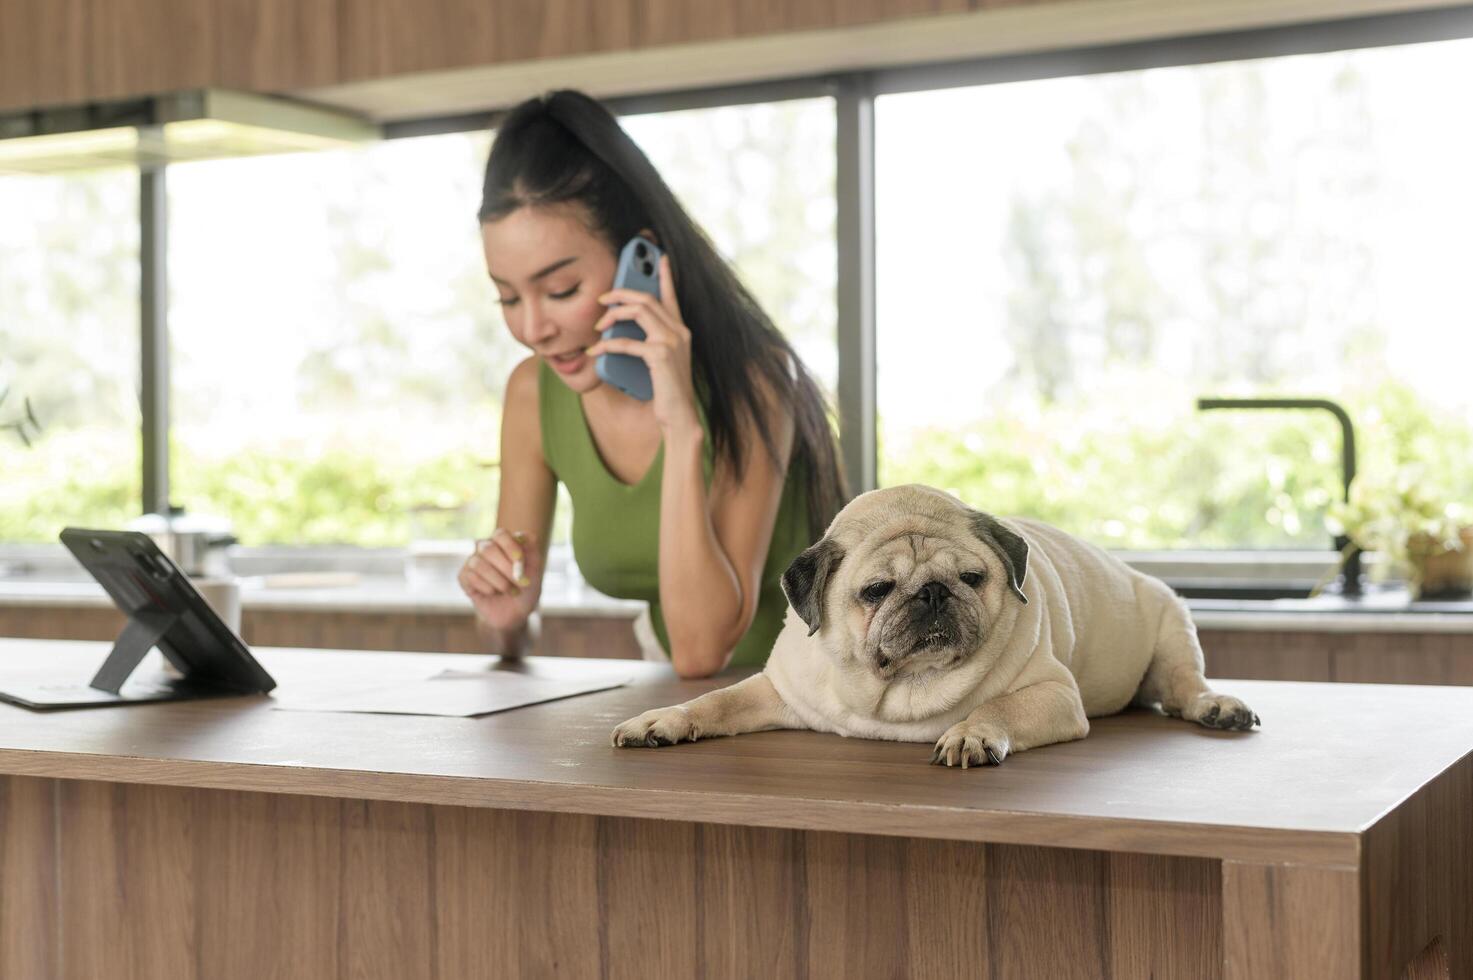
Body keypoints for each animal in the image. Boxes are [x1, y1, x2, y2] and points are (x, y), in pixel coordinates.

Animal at [609, 480, 1254, 766]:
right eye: (875, 591)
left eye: (972, 577)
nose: (934, 594)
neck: (898, 692)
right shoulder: (778, 691)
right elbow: (714, 701)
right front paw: (661, 719)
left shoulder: (1052, 694)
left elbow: (999, 708)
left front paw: (971, 733)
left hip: (1173, 626)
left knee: (1185, 685)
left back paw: (1217, 707)